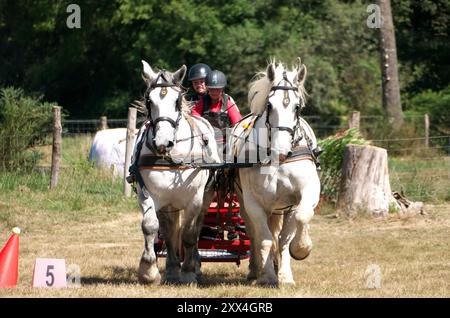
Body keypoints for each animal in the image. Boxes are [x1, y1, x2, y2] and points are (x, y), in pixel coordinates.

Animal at [132, 60, 220, 284]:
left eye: (177, 100)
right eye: (149, 100)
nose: (163, 142)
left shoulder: (195, 199)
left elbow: (189, 234)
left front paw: (188, 271)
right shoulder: (147, 194)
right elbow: (150, 226)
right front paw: (148, 270)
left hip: (206, 197)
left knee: (196, 229)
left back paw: (194, 265)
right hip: (168, 203)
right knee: (168, 229)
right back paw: (172, 269)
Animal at [230, 58, 322, 286]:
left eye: (297, 107)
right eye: (270, 105)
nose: (281, 151)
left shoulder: (306, 194)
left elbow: (300, 220)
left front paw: (300, 252)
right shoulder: (253, 203)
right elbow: (263, 238)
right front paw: (267, 276)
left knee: (282, 235)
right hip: (246, 204)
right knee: (255, 234)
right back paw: (257, 270)